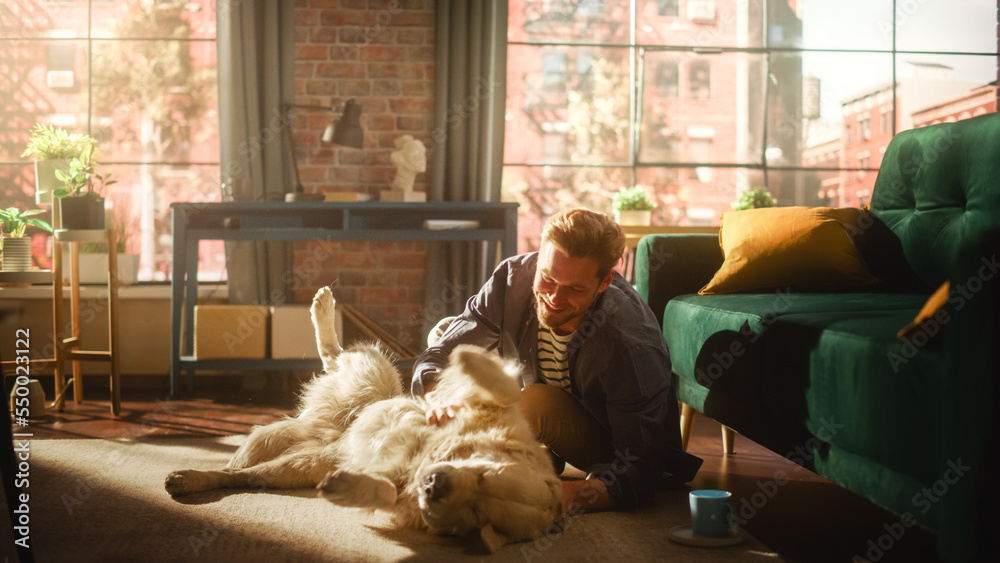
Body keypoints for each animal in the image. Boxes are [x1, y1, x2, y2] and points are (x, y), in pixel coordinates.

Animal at [160, 288, 560, 552]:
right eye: (483, 475)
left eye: (477, 511)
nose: (434, 485)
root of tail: (326, 429)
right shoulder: (484, 407)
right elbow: (506, 388)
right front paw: (471, 358)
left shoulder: (404, 496)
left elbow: (386, 491)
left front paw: (347, 488)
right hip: (375, 375)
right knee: (334, 354)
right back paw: (324, 305)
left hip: (302, 465)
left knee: (241, 474)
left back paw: (191, 479)